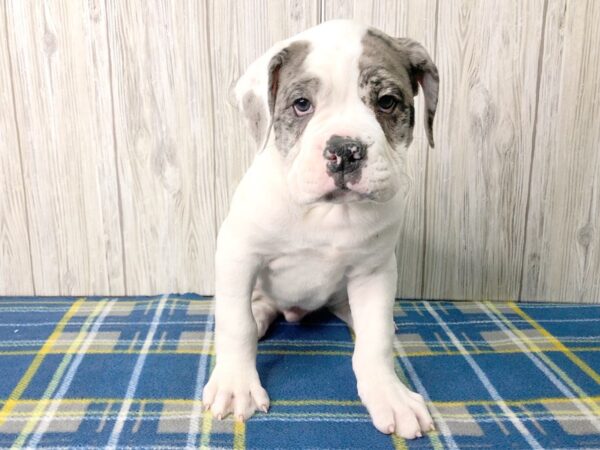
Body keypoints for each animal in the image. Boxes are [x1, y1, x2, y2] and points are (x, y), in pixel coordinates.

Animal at [204, 19, 438, 438]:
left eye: (387, 102)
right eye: (302, 104)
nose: (344, 150)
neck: (328, 214)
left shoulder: (375, 271)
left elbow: (376, 340)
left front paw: (388, 392)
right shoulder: (238, 253)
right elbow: (235, 324)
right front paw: (235, 384)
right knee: (252, 311)